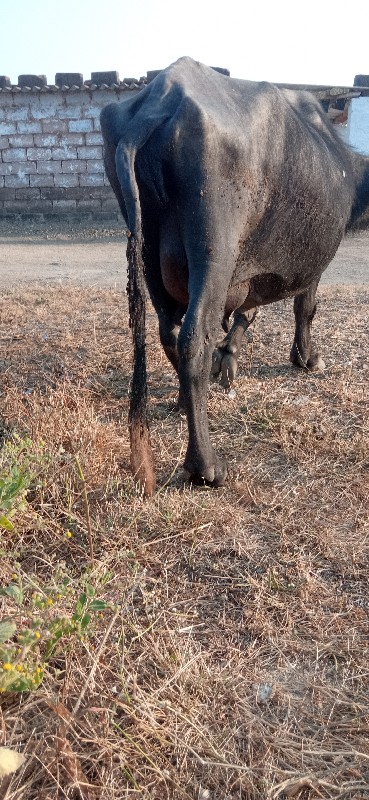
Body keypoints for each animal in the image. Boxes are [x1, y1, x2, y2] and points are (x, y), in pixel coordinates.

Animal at [100, 56, 368, 494]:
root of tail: (161, 102)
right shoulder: (311, 267)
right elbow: (304, 309)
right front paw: (306, 358)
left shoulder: (248, 274)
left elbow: (246, 312)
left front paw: (228, 359)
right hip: (215, 251)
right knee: (193, 338)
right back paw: (205, 466)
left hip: (147, 253)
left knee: (169, 332)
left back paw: (184, 399)